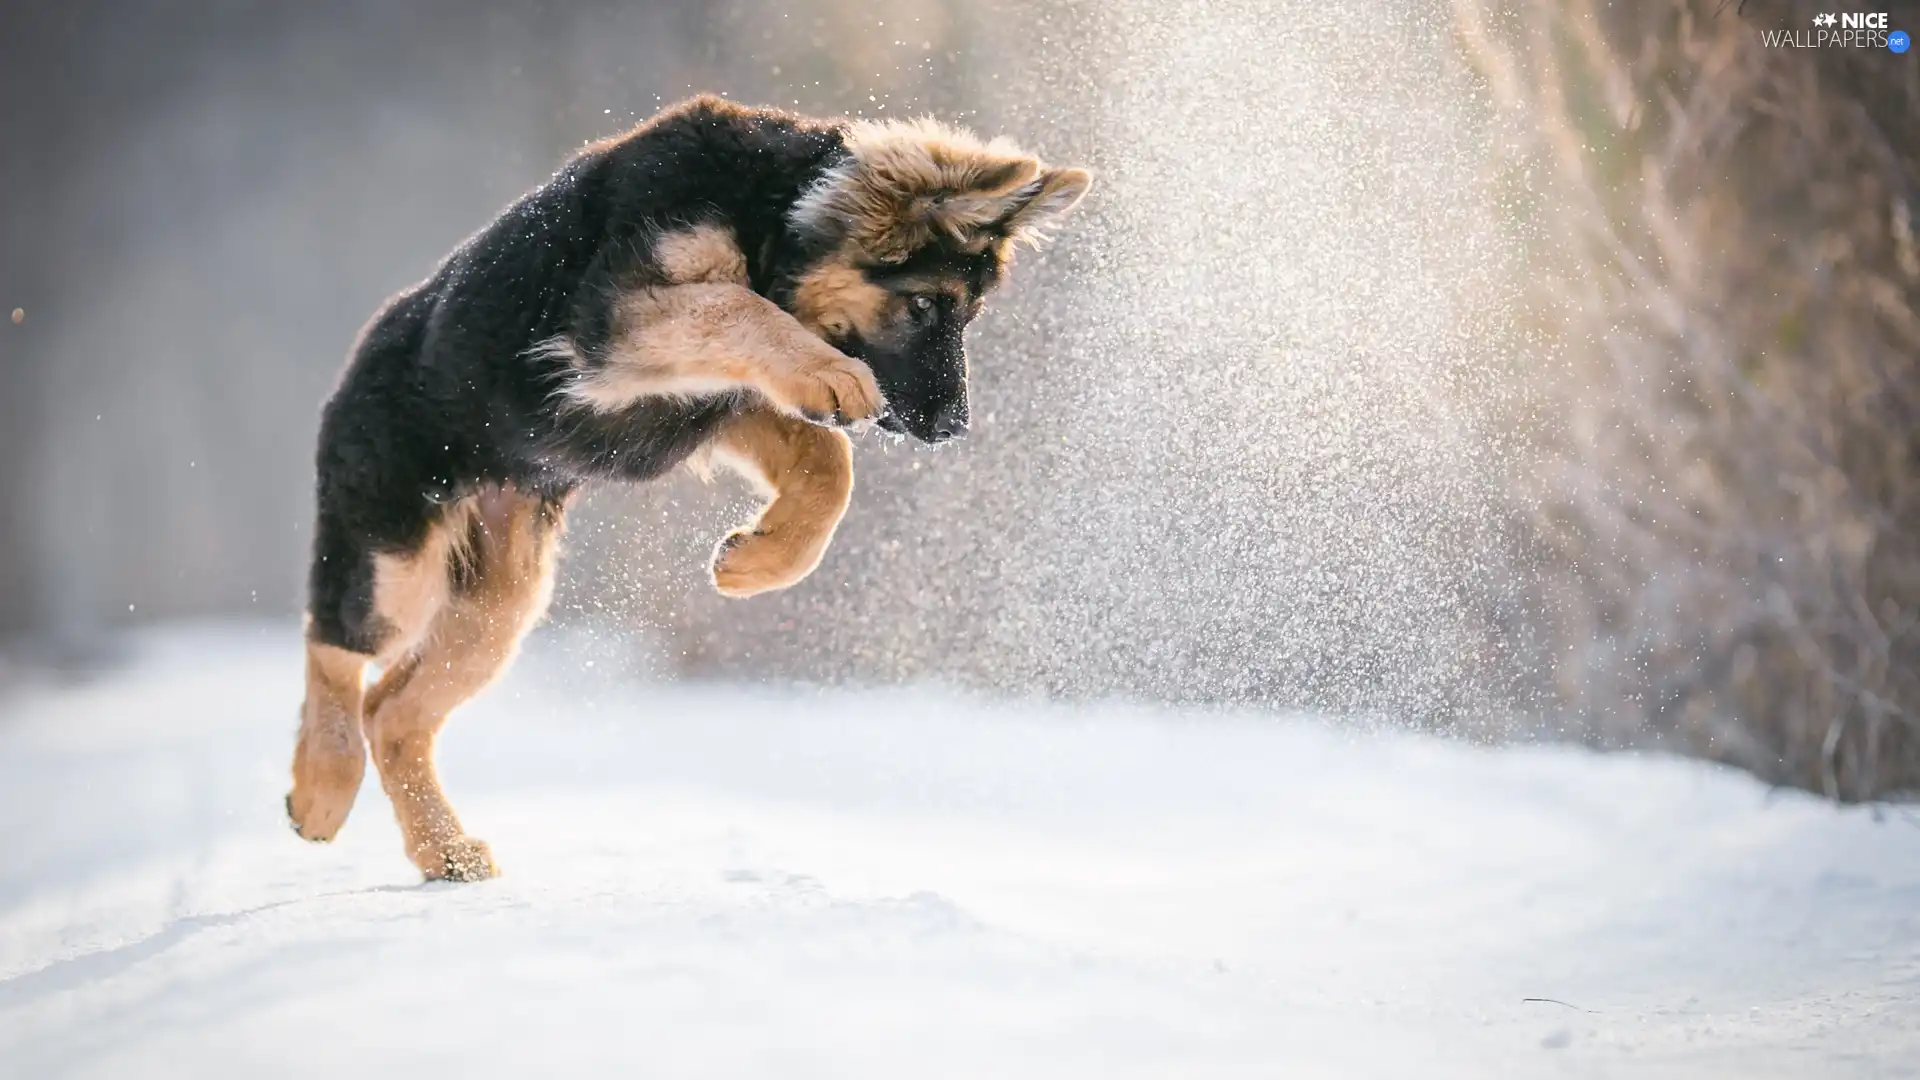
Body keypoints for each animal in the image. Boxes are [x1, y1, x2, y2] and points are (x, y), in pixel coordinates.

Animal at [286, 96, 1098, 880]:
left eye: (970, 314)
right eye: (927, 305)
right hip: (401, 561)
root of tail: (358, 356)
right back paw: (322, 786)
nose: (954, 428)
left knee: (392, 710)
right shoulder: (618, 319)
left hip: (501, 605)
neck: (774, 211)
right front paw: (830, 376)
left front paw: (759, 559)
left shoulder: (716, 400)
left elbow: (828, 460)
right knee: (336, 645)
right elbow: (733, 306)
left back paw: (443, 850)